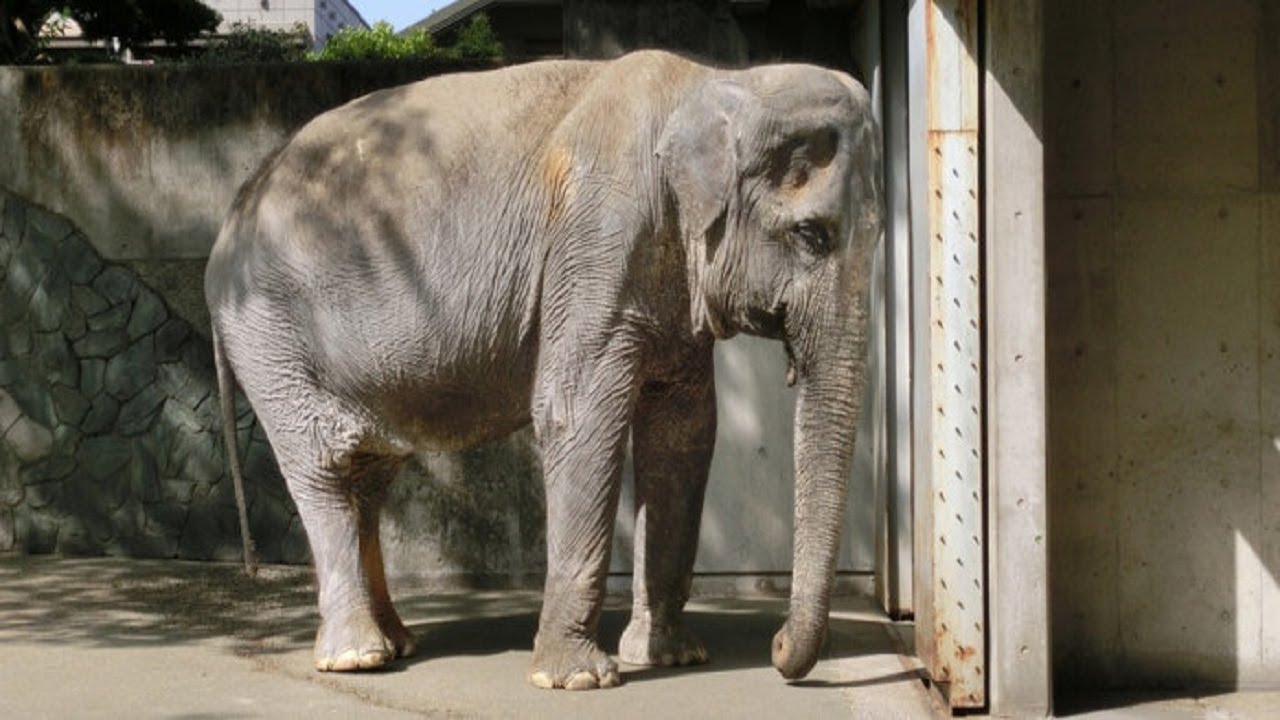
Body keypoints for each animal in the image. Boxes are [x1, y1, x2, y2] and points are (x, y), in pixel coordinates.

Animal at [205, 49, 882, 690]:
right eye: (811, 235)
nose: (776, 649)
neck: (717, 81)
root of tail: (234, 209)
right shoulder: (595, 240)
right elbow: (577, 418)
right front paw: (579, 678)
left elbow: (684, 435)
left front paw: (672, 657)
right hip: (271, 335)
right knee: (324, 465)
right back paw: (358, 658)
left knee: (367, 475)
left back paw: (398, 644)